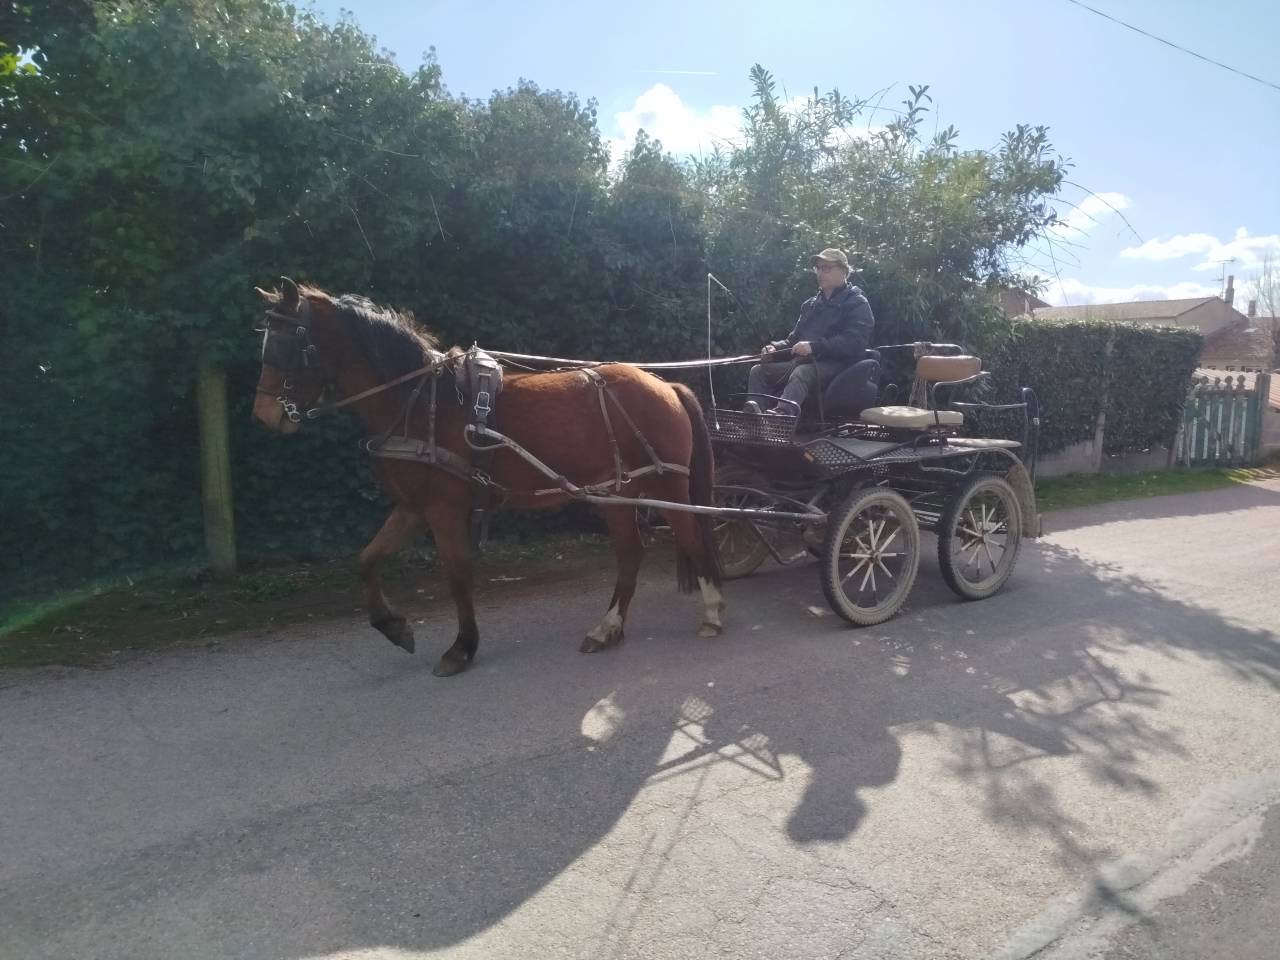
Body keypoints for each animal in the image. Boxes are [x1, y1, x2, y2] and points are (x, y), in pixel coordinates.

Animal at [251, 278, 725, 677]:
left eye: (289, 344)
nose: (265, 414)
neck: (419, 401)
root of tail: (665, 386)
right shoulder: (412, 507)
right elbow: (366, 559)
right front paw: (394, 626)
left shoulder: (444, 508)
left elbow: (457, 573)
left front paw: (462, 647)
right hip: (617, 493)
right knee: (631, 554)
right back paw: (607, 628)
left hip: (666, 486)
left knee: (692, 538)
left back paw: (713, 612)